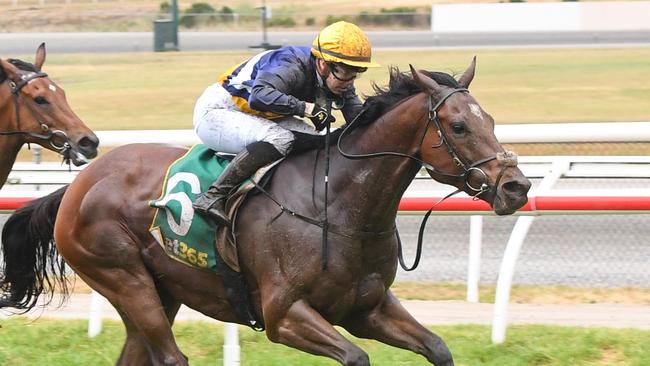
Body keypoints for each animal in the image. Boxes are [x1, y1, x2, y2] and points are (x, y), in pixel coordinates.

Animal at [0, 60, 528, 366]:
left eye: (489, 120)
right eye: (458, 126)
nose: (517, 186)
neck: (337, 206)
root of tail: (79, 185)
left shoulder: (368, 308)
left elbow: (438, 348)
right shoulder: (285, 316)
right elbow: (356, 358)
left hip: (158, 290)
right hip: (123, 277)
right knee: (171, 358)